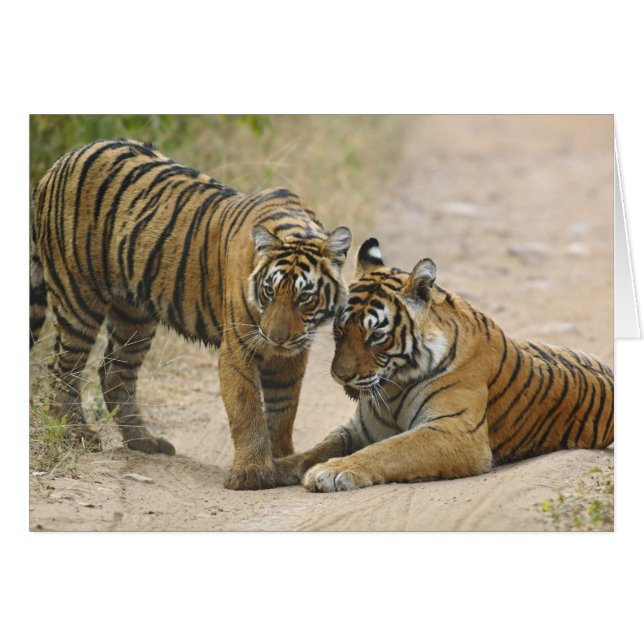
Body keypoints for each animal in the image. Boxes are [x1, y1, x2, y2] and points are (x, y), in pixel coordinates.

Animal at [30, 138, 352, 490]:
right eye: (269, 291)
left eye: (304, 297)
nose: (276, 338)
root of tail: (61, 161)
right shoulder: (239, 347)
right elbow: (247, 409)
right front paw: (251, 473)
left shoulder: (292, 355)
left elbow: (283, 410)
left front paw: (281, 460)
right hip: (78, 296)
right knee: (64, 368)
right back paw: (75, 433)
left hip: (134, 315)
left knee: (116, 371)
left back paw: (144, 441)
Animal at [274, 237, 614, 492]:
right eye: (339, 329)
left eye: (376, 336)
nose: (340, 376)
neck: (395, 384)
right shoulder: (362, 427)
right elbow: (321, 446)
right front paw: (279, 467)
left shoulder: (456, 432)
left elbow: (389, 449)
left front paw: (331, 471)